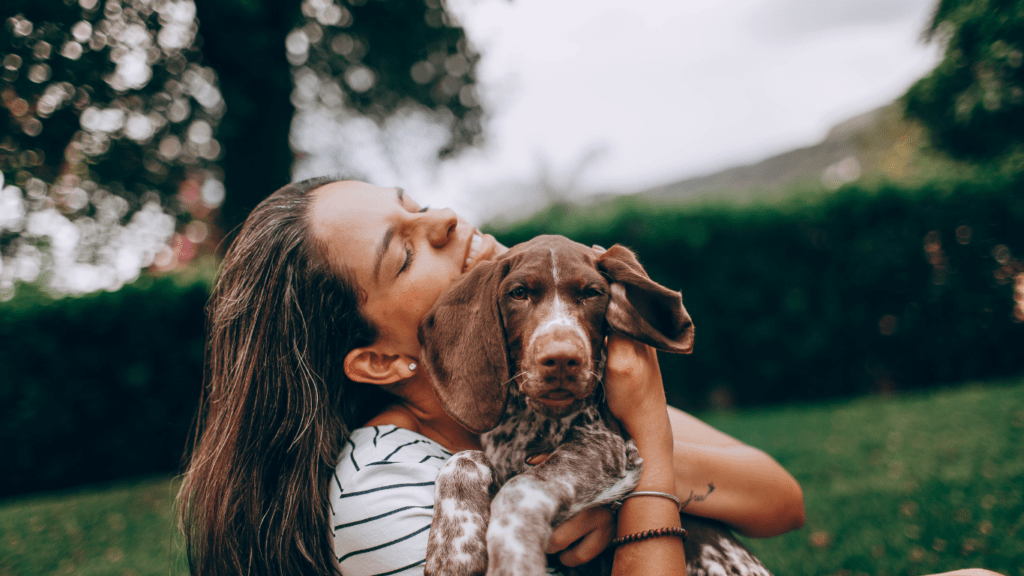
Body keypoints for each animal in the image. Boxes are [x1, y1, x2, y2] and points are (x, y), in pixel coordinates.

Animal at [417, 233, 770, 573]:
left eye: (592, 293)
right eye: (518, 293)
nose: (562, 359)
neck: (530, 420)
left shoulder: (606, 446)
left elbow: (518, 489)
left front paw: (514, 559)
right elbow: (462, 460)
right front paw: (453, 550)